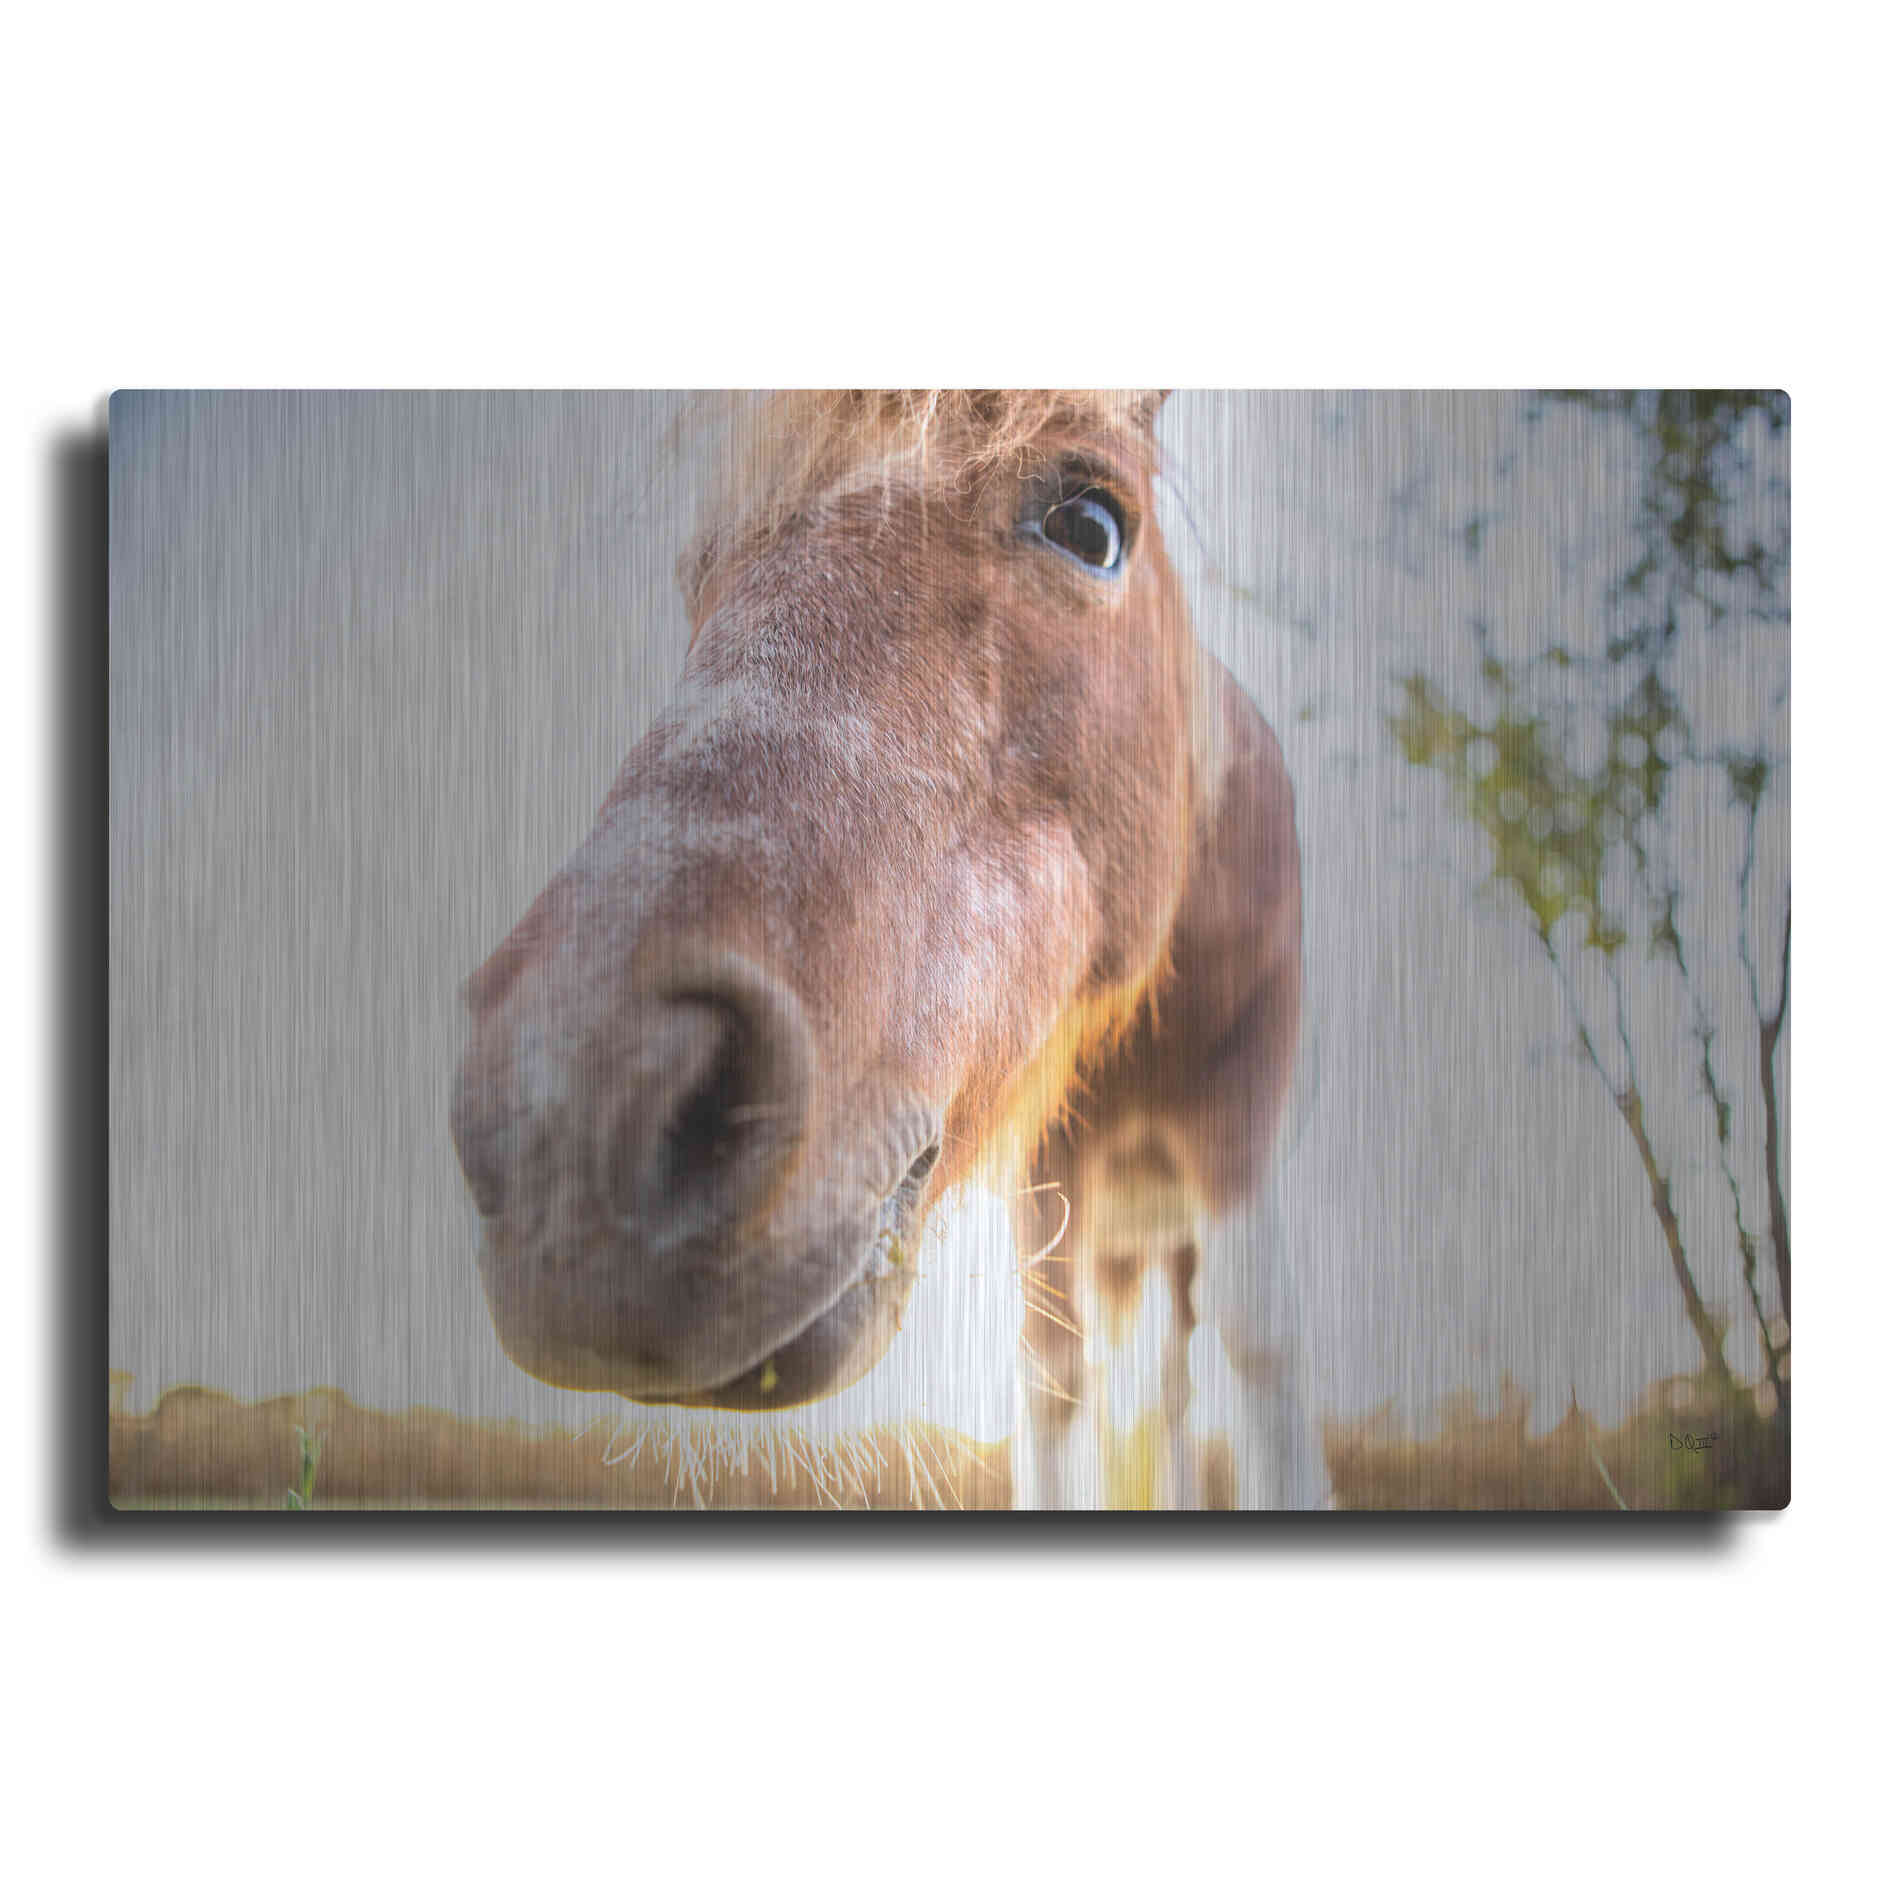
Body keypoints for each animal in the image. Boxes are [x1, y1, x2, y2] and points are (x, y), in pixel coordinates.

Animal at [449, 390, 1331, 1509]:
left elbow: (1258, 1353)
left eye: (1090, 524)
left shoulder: (1235, 1122)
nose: (566, 1116)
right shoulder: (1046, 1173)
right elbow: (1050, 1377)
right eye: (700, 569)